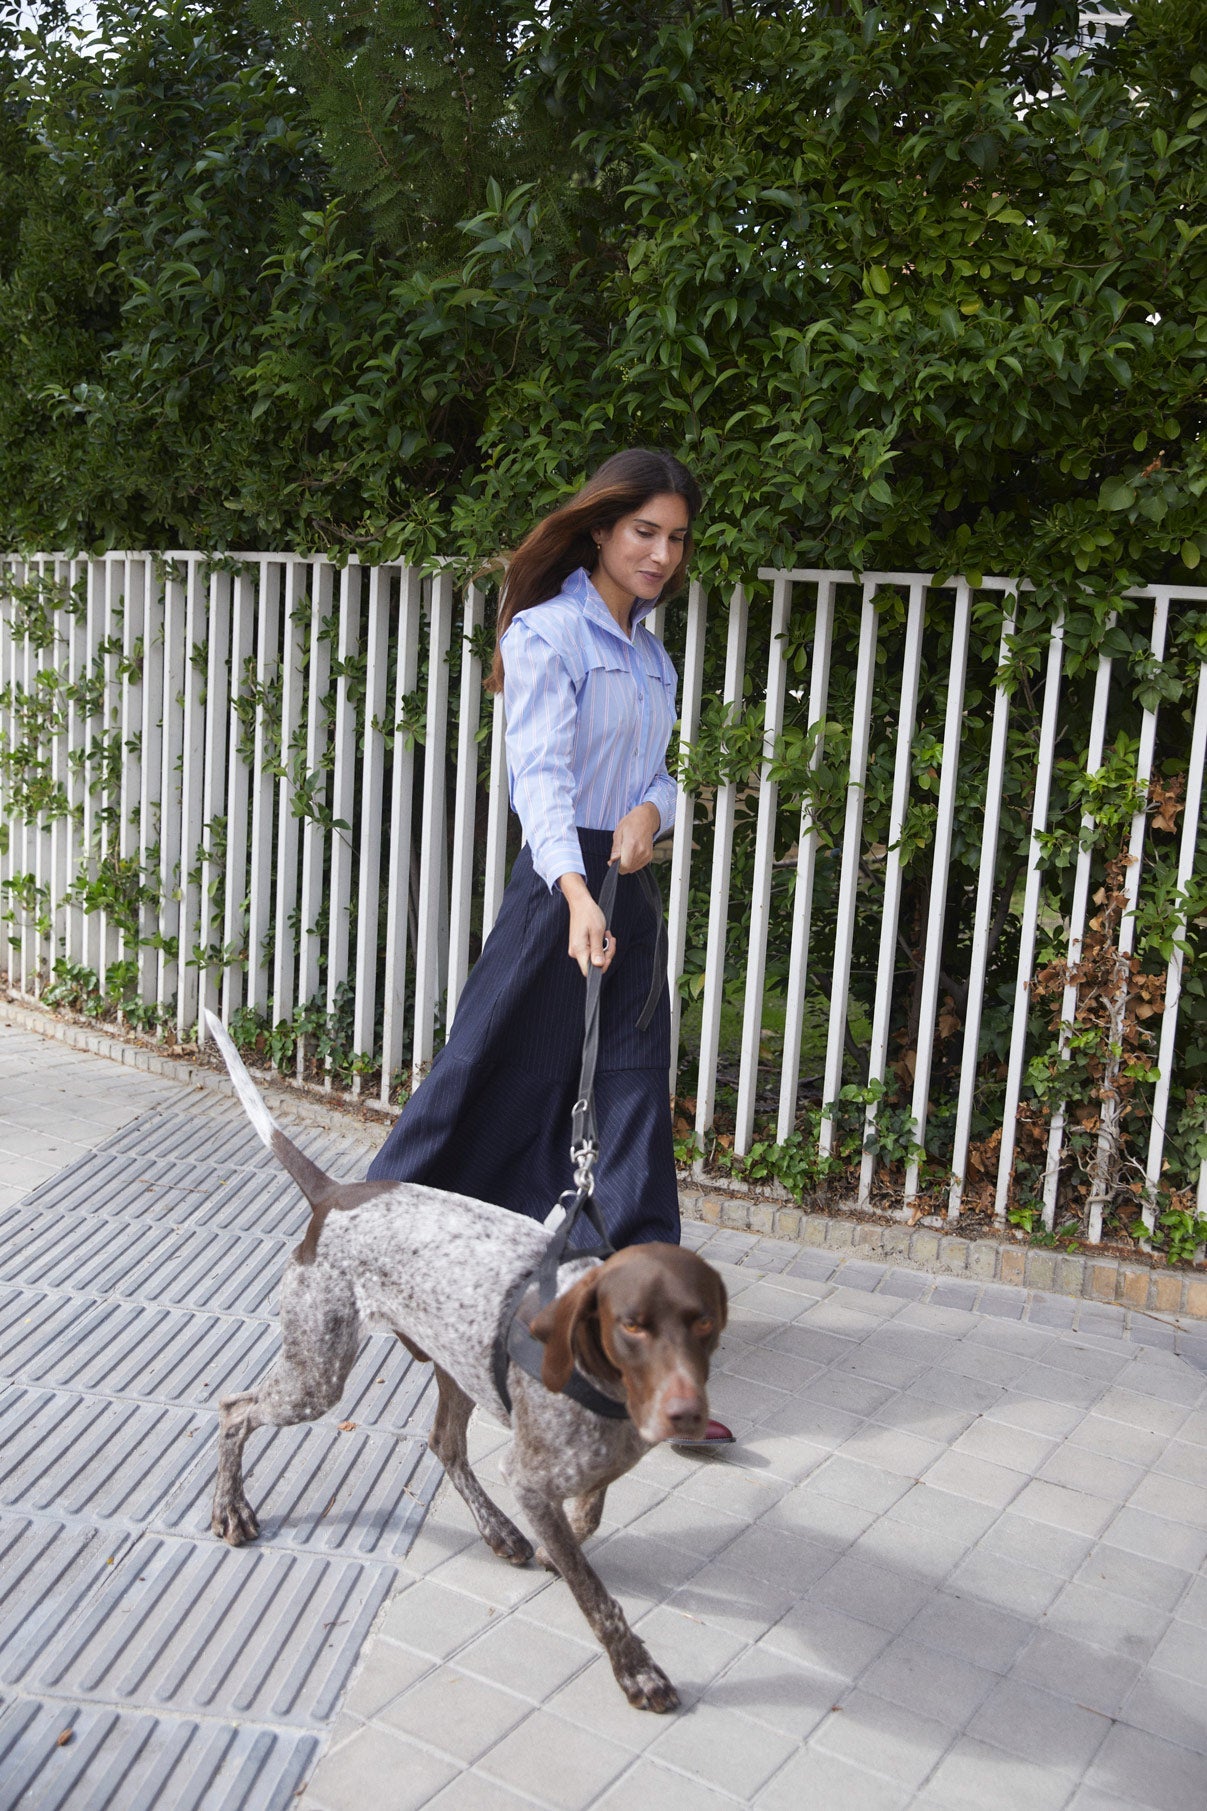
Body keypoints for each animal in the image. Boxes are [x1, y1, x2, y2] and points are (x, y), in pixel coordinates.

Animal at [202, 1021, 724, 1709]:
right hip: (316, 1376)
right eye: (631, 1325)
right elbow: (595, 1593)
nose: (685, 1414)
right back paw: (231, 1510)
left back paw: (498, 1530)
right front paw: (636, 1669)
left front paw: (557, 1549)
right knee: (234, 1409)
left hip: (455, 1362)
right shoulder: (529, 1478)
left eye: (704, 1325)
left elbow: (587, 1517)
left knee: (444, 1444)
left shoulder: (583, 1466)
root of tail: (334, 1195)